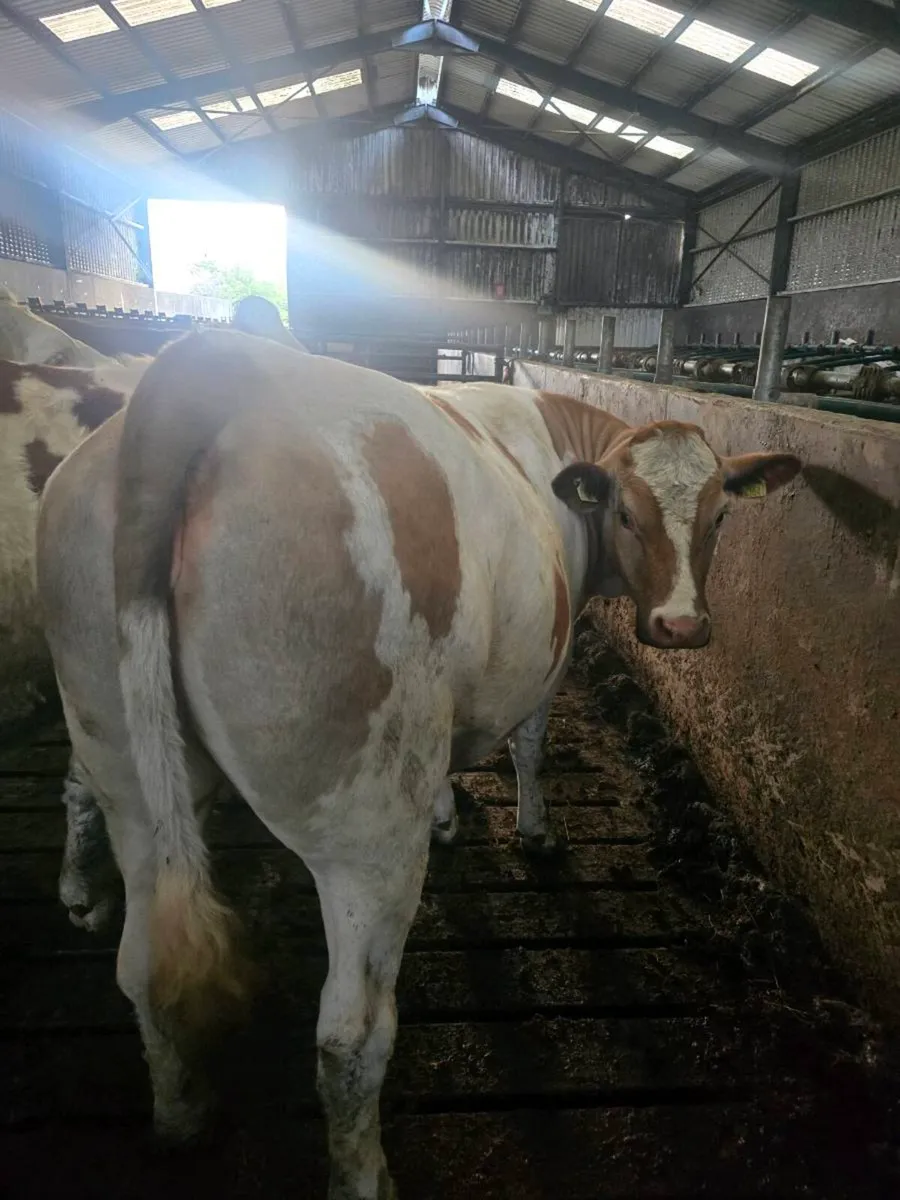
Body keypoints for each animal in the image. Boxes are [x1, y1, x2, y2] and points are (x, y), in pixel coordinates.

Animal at [35, 328, 801, 1196]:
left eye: (719, 517)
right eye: (629, 514)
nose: (680, 626)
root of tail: (201, 370)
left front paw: (448, 813)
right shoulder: (545, 663)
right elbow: (529, 743)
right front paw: (535, 832)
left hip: (124, 763)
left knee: (143, 965)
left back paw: (180, 1114)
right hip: (366, 824)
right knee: (352, 1033)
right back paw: (365, 1174)